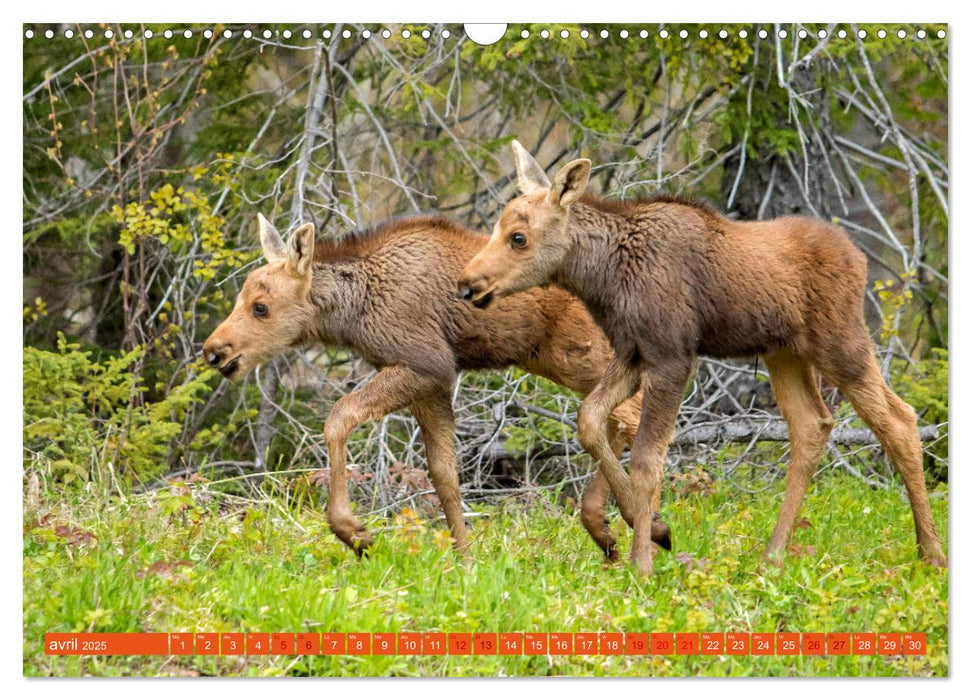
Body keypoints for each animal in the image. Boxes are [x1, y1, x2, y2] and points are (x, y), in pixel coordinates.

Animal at [199, 213, 668, 556]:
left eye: (261, 307)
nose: (213, 351)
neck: (353, 312)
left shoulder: (425, 364)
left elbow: (339, 417)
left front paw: (352, 531)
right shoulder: (433, 384)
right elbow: (444, 472)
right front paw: (466, 558)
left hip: (584, 354)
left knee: (631, 417)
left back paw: (647, 526)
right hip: (562, 360)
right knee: (615, 417)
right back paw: (607, 528)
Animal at [460, 139, 944, 576]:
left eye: (518, 237)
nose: (467, 284)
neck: (605, 279)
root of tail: (859, 258)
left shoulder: (673, 356)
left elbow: (646, 459)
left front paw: (642, 562)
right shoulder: (632, 353)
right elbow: (590, 420)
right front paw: (646, 528)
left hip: (840, 342)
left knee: (899, 420)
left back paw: (931, 553)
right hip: (785, 353)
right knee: (813, 424)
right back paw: (772, 556)